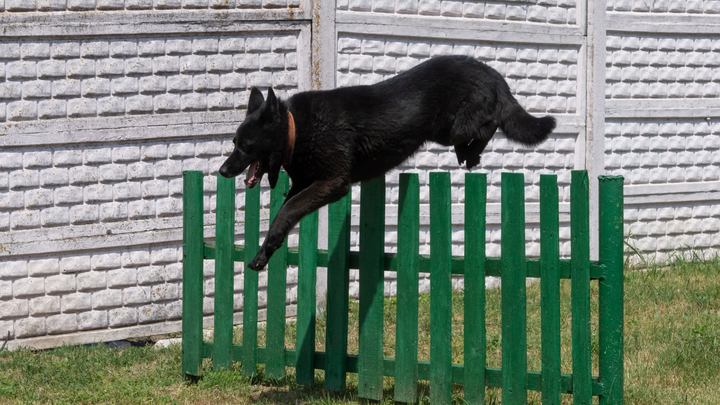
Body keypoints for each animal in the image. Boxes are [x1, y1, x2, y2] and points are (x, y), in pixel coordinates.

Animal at [217, 53, 556, 268]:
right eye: (234, 144)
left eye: (246, 146)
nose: (222, 171)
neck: (296, 130)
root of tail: (493, 73)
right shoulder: (305, 184)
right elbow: (284, 211)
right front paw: (264, 253)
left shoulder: (333, 183)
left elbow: (287, 211)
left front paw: (268, 247)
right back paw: (469, 154)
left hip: (452, 128)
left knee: (490, 123)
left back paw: (470, 154)